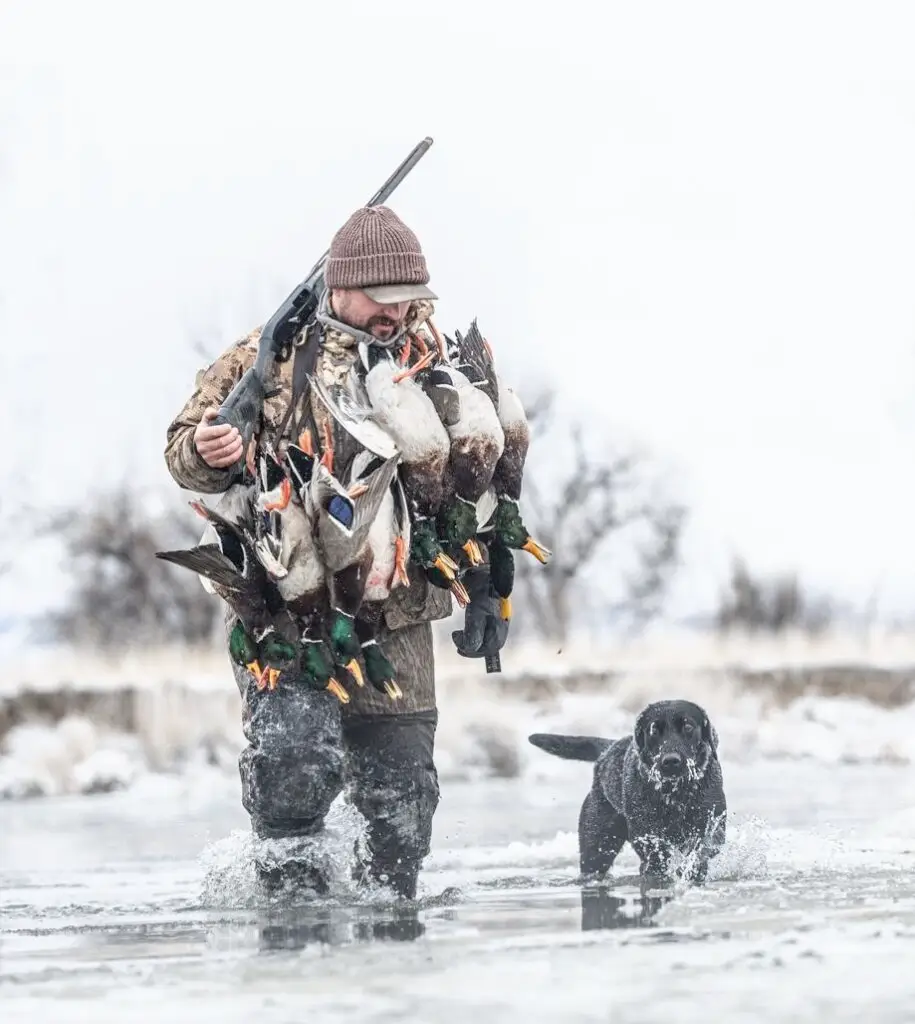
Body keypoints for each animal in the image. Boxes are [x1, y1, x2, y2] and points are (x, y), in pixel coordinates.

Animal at [532, 700, 728, 884]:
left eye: (688, 727)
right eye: (653, 731)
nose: (671, 761)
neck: (675, 794)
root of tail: (607, 751)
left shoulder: (713, 825)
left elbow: (704, 848)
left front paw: (691, 868)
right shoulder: (646, 836)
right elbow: (656, 855)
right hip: (597, 844)